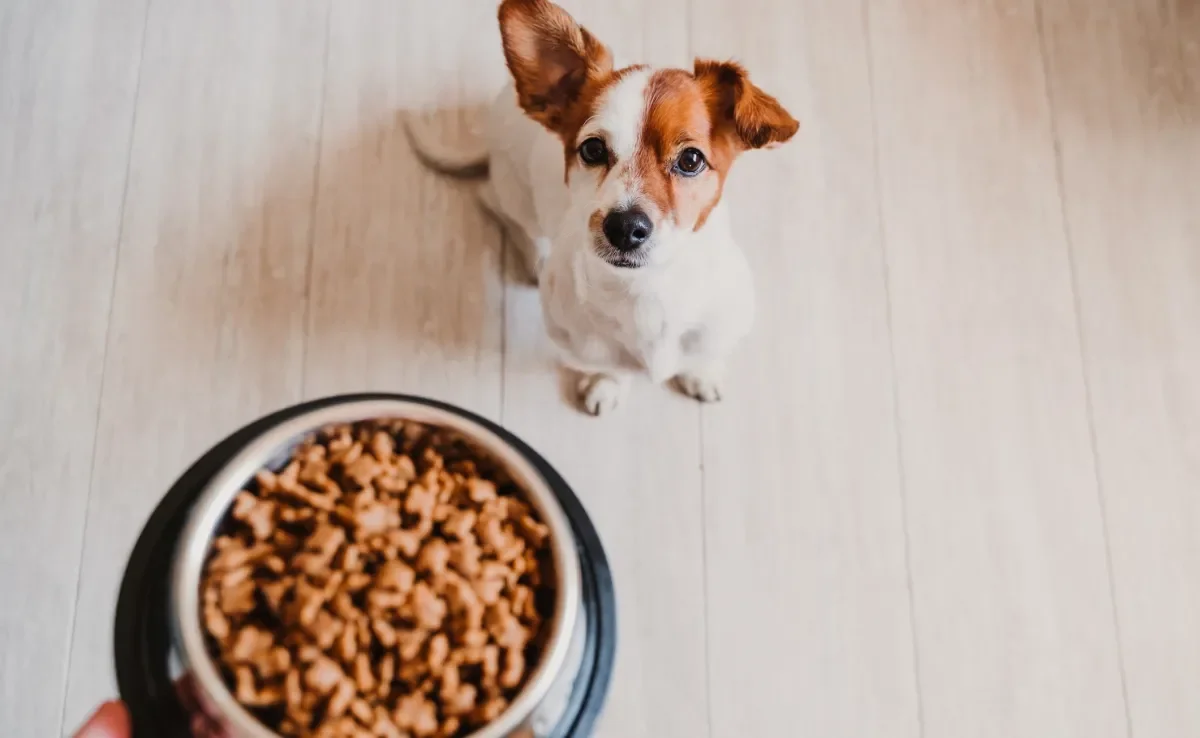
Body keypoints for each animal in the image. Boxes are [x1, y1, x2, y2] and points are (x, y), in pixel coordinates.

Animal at [408, 0, 801, 415]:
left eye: (691, 160)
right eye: (593, 149)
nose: (625, 227)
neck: (646, 290)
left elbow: (702, 355)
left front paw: (701, 374)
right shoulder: (581, 344)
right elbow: (609, 366)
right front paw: (607, 384)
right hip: (514, 195)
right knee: (497, 206)